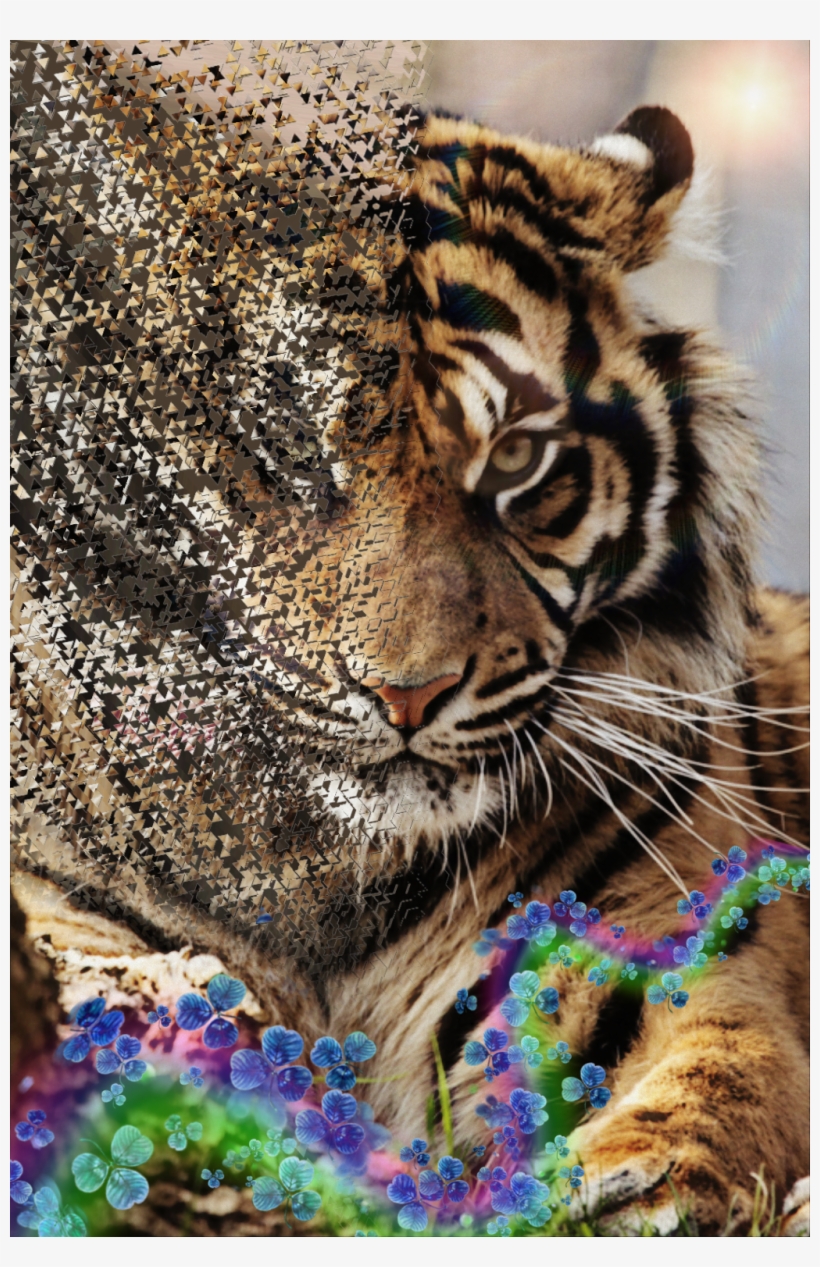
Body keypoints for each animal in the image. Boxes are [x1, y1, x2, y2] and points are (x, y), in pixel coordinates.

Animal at [11, 93, 809, 1236]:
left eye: (516, 458)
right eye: (285, 448)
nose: (407, 693)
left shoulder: (681, 935)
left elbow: (719, 1064)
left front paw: (630, 1186)